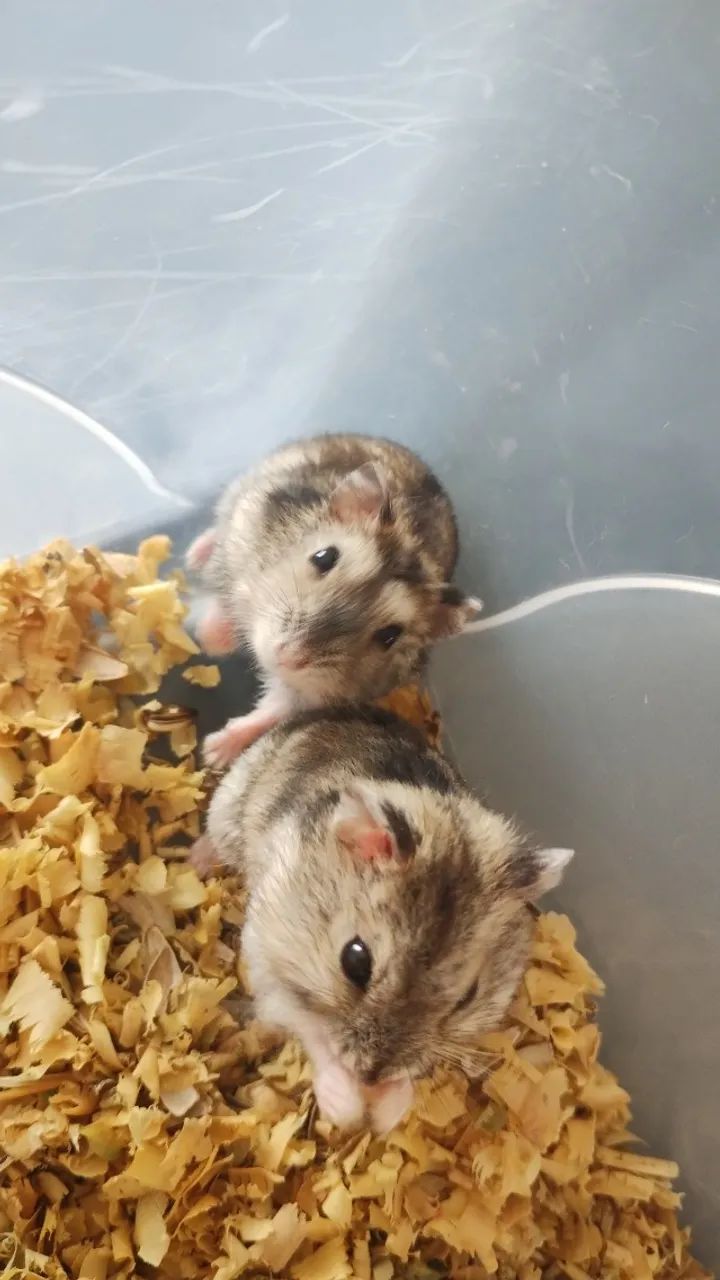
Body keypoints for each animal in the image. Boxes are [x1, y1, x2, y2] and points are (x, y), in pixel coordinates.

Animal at [186, 434, 480, 768]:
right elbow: (226, 591)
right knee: (215, 532)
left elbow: (273, 709)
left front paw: (212, 752)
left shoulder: (314, 692)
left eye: (390, 636)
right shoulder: (240, 539)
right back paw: (193, 553)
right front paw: (210, 640)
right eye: (323, 557)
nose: (286, 656)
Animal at [192, 705, 573, 1133]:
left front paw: (388, 1114)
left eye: (468, 997)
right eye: (354, 960)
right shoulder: (267, 963)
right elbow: (312, 1029)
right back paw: (198, 856)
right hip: (226, 810)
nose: (371, 1076)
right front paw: (348, 1111)